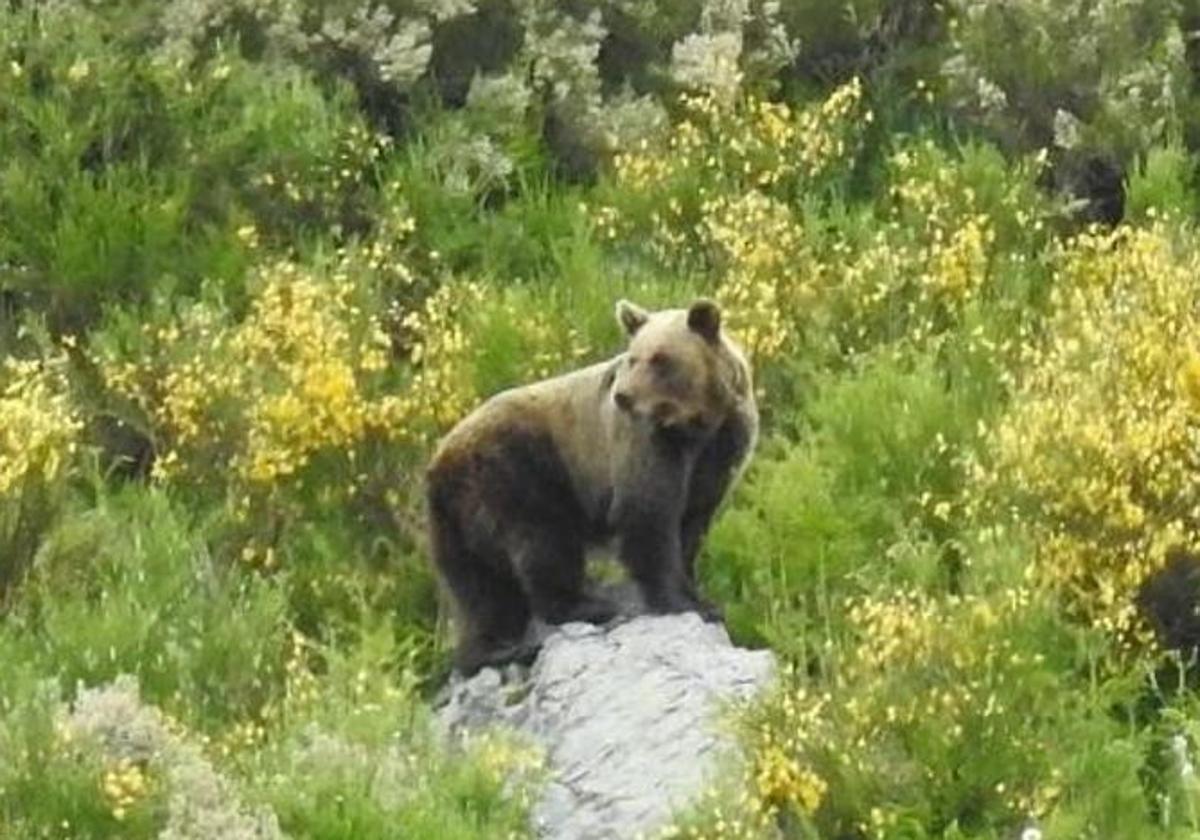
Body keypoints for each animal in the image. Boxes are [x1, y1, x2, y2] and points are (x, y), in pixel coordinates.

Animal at [427, 298, 753, 672]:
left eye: (660, 359)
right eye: (633, 357)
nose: (623, 396)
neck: (697, 425)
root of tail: (442, 461)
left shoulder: (720, 451)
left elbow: (691, 523)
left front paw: (697, 592)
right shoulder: (646, 443)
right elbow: (648, 516)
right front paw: (688, 603)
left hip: (454, 521)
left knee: (480, 589)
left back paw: (495, 649)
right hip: (516, 470)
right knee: (543, 540)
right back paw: (586, 606)